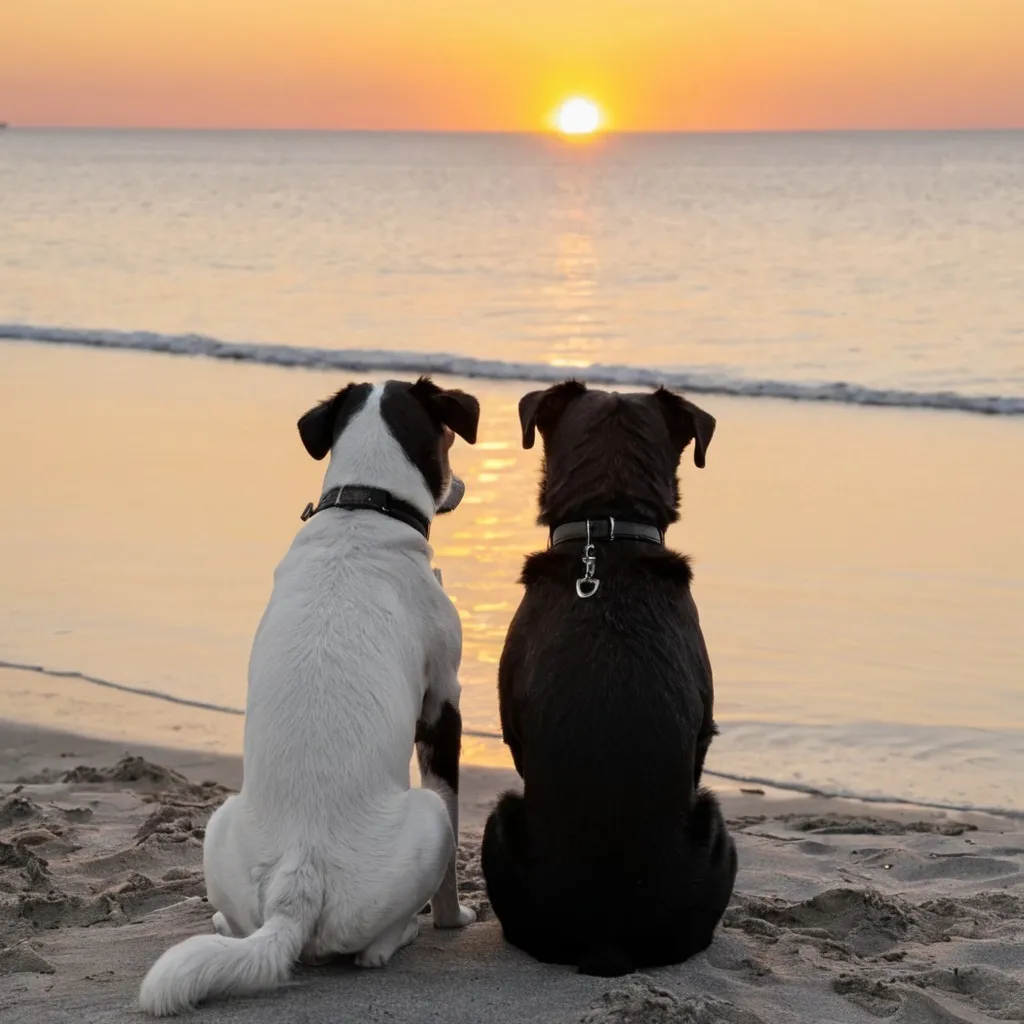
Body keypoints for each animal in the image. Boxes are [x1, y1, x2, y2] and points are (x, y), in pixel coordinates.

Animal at [137, 378, 483, 1015]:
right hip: (425, 820)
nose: (461, 487)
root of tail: (296, 888)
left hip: (219, 824)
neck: (363, 508)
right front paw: (452, 918)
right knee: (374, 947)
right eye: (449, 435)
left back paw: (224, 924)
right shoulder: (443, 703)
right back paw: (404, 932)